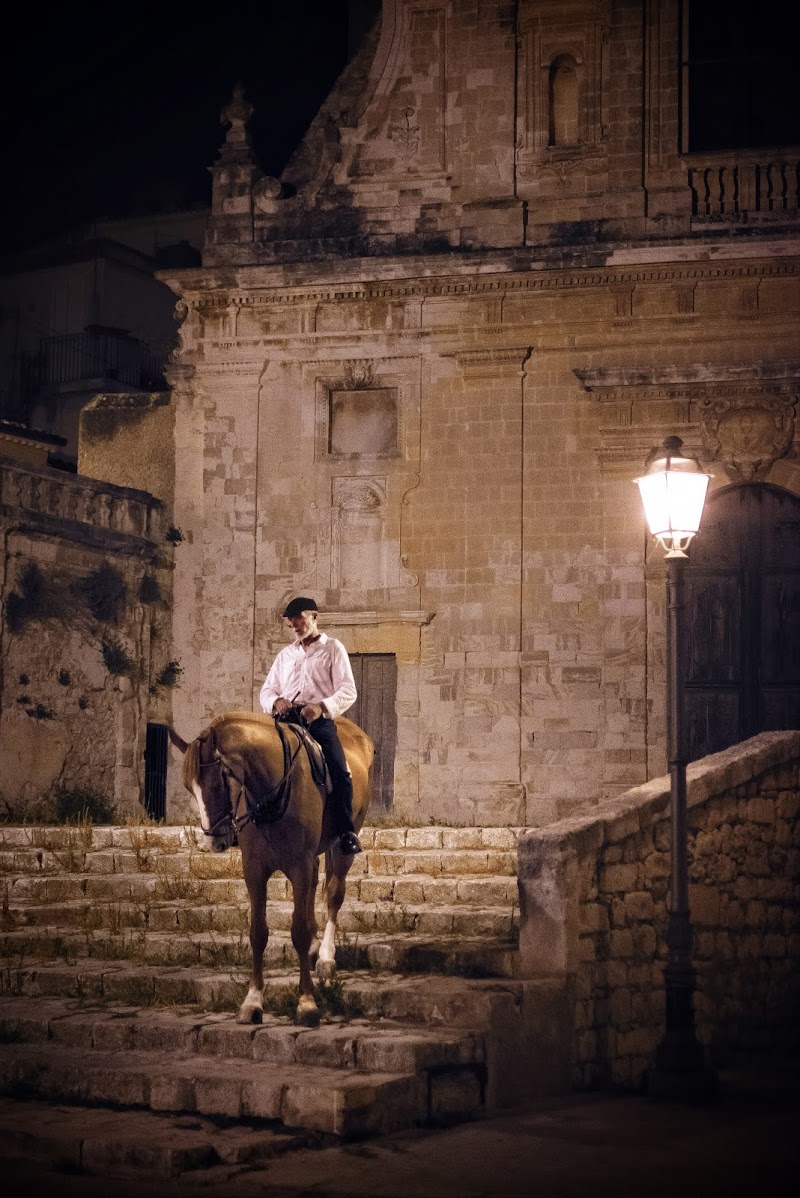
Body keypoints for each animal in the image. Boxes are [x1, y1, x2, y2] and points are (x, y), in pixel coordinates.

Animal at [167, 709, 373, 1030]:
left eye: (217, 784)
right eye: (190, 788)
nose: (213, 841)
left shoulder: (299, 865)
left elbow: (299, 931)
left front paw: (306, 1003)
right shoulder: (255, 869)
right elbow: (258, 933)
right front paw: (252, 1002)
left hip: (341, 849)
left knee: (333, 896)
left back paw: (326, 957)